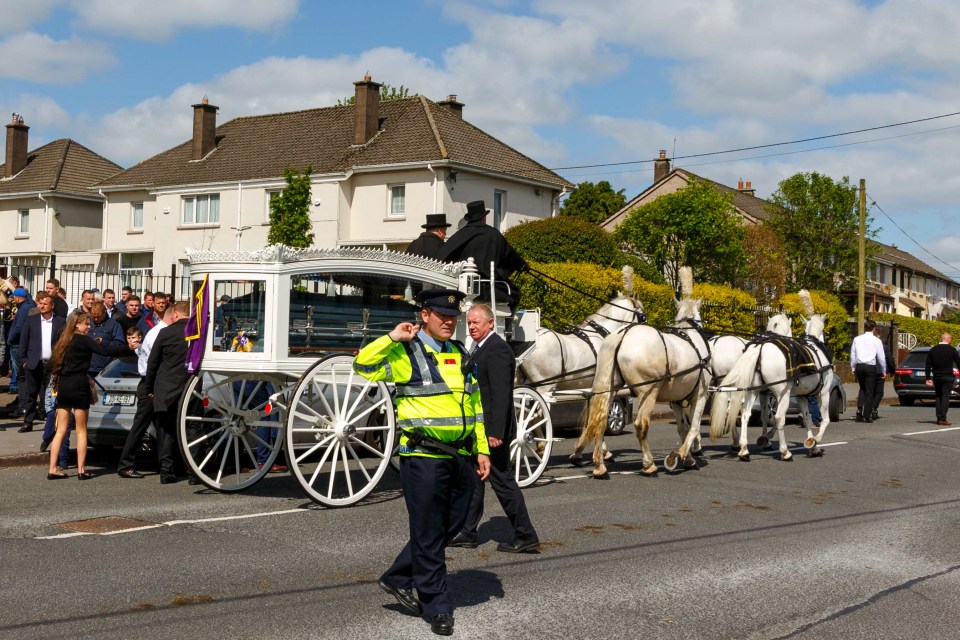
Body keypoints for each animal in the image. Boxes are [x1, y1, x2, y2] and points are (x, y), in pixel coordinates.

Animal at [568, 294, 712, 476]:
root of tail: (622, 335)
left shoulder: (676, 400)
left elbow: (683, 429)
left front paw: (688, 458)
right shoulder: (701, 395)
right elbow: (693, 428)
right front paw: (678, 456)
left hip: (611, 390)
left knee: (599, 419)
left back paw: (599, 464)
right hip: (648, 393)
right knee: (641, 424)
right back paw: (648, 464)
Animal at [708, 300, 836, 460]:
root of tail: (760, 348)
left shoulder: (795, 396)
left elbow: (805, 418)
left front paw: (812, 445)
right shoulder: (822, 393)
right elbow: (825, 419)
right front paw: (815, 440)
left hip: (750, 391)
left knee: (744, 414)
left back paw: (743, 449)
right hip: (781, 394)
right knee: (778, 417)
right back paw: (784, 451)